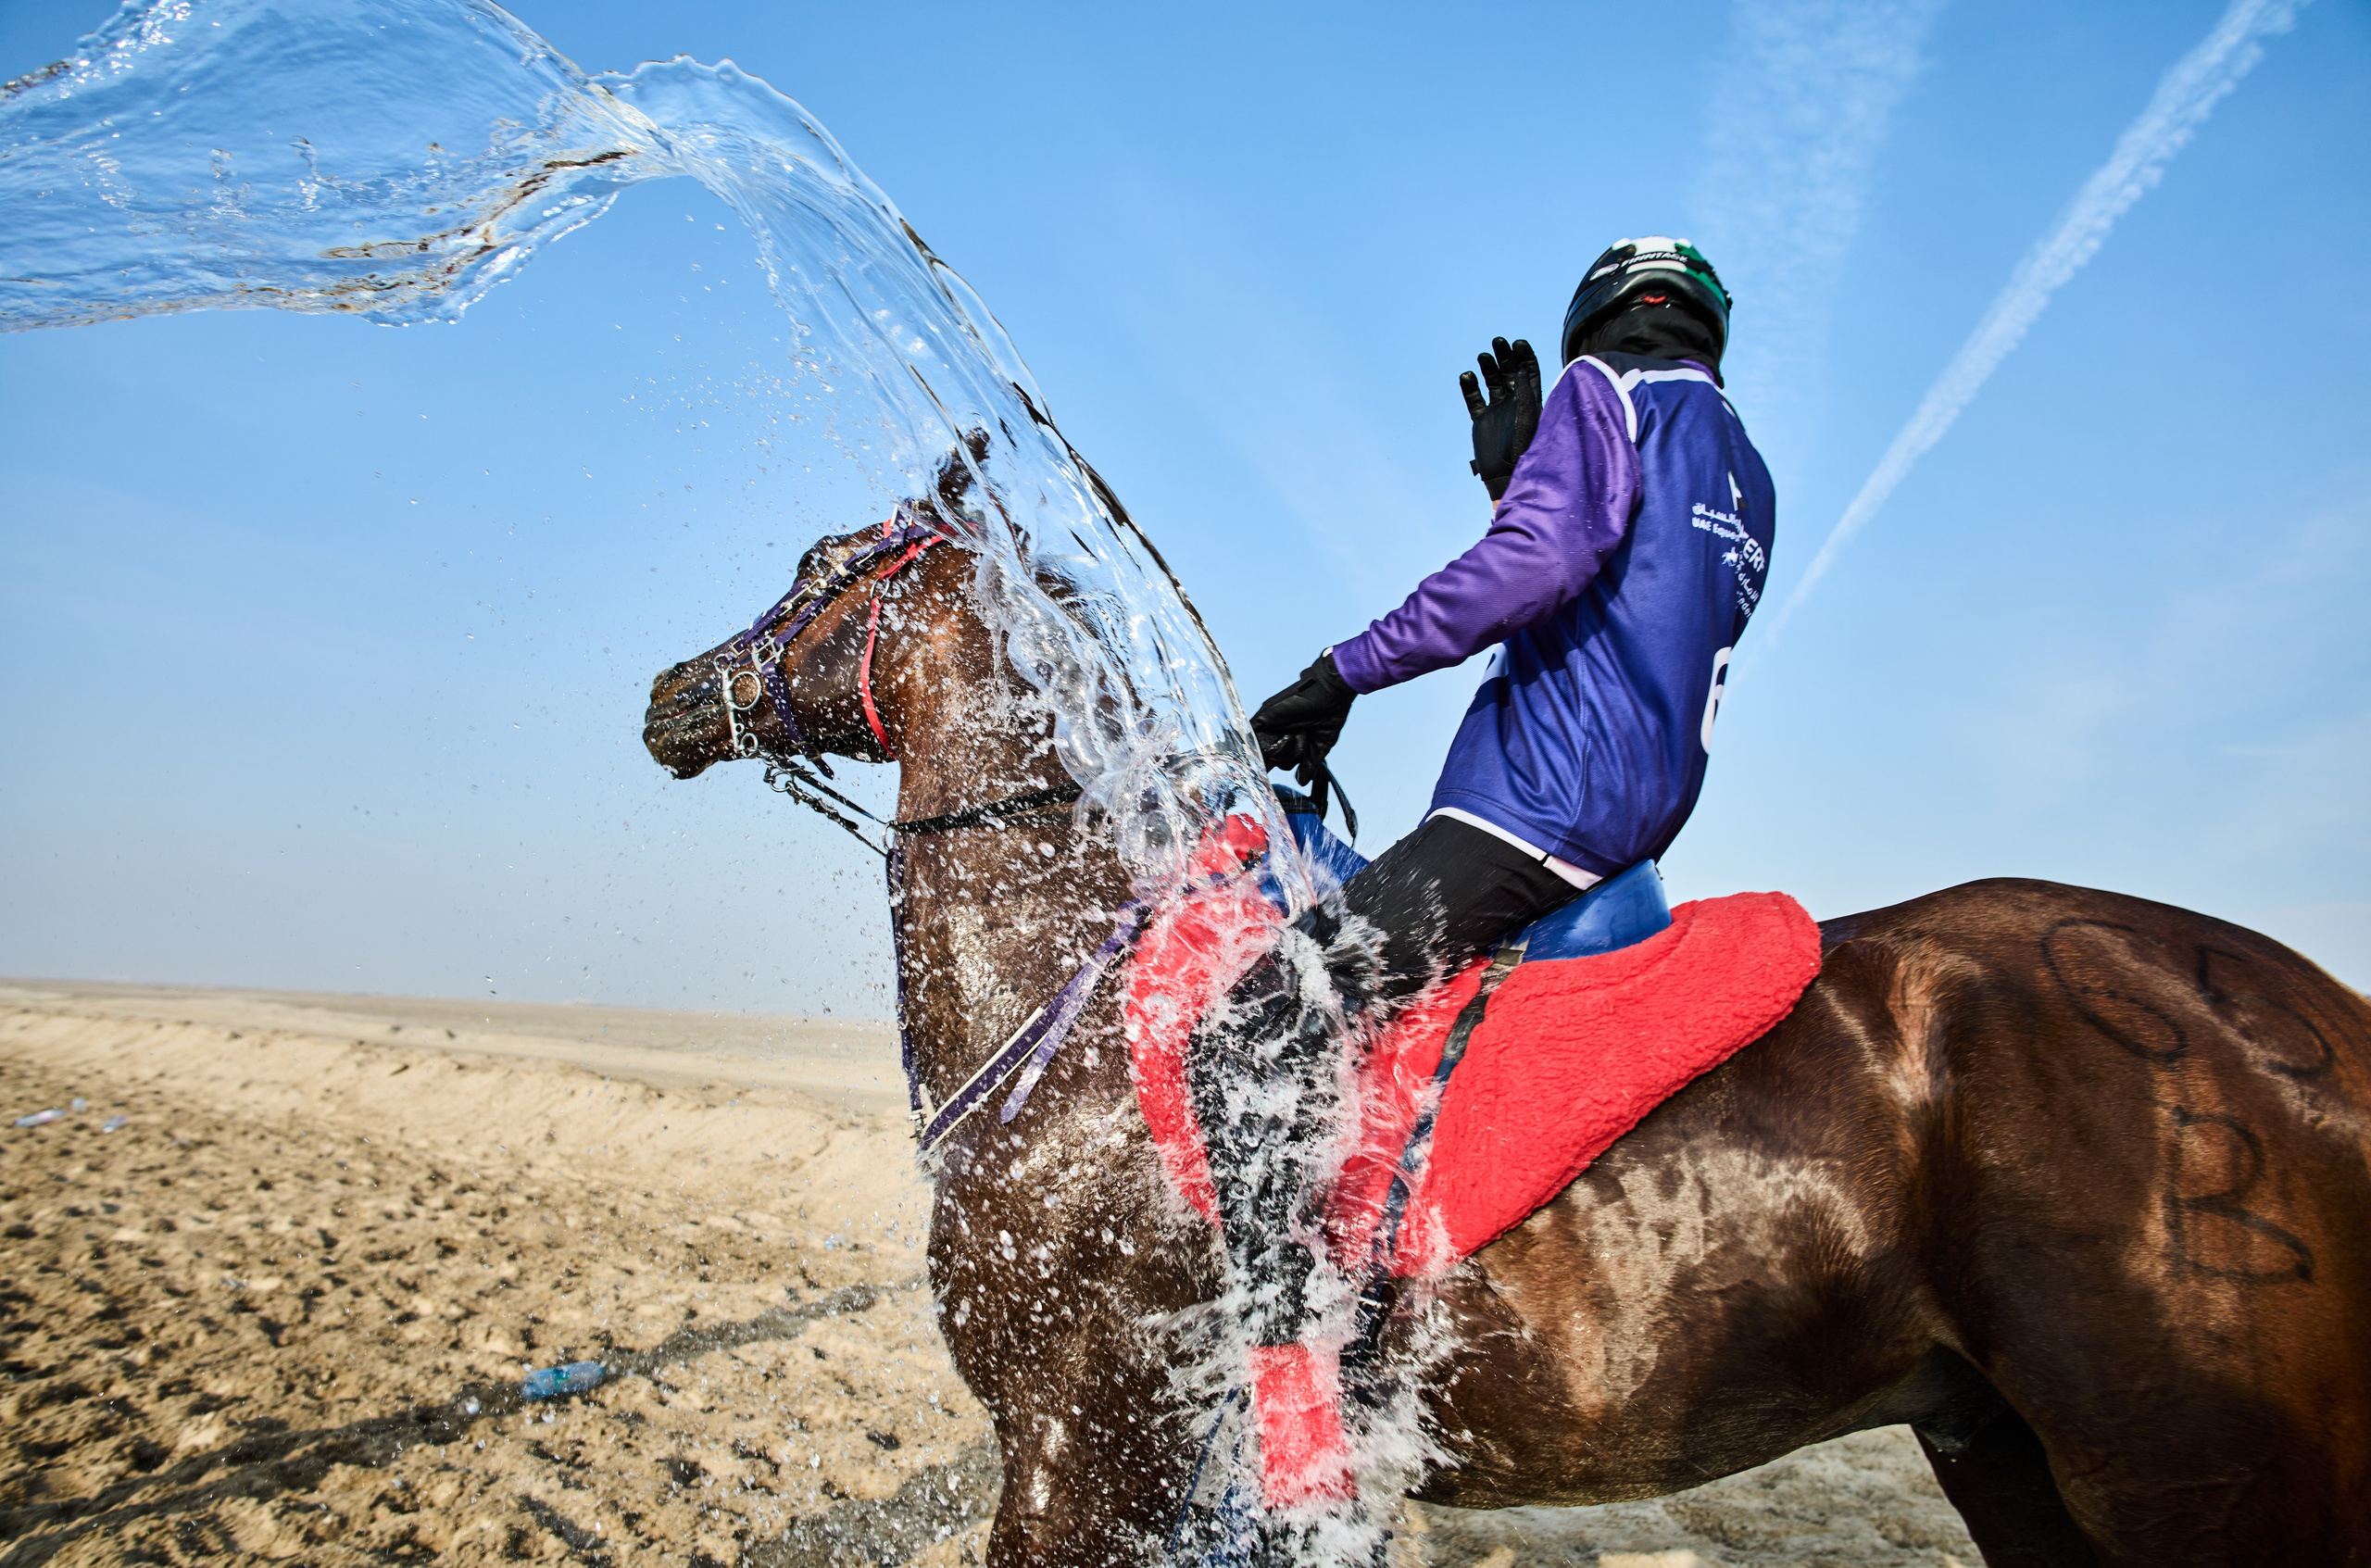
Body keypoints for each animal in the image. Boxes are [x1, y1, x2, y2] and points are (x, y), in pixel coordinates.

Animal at [641, 483, 2371, 1566]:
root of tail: (2304, 1011)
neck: (1083, 1021)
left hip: (2189, 1482)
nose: (668, 690)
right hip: (2006, 1451)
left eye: (818, 563)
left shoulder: (1080, 1446)